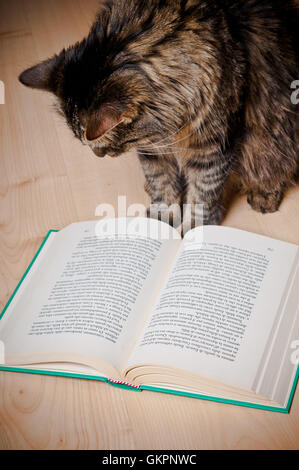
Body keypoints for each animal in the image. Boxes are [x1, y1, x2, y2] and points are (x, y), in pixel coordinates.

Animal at [19, 0, 299, 231]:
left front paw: (195, 228)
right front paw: (161, 220)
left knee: (275, 164)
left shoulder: (212, 147)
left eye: (100, 145)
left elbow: (203, 192)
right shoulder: (151, 149)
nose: (99, 155)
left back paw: (264, 195)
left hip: (275, 132)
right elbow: (161, 183)